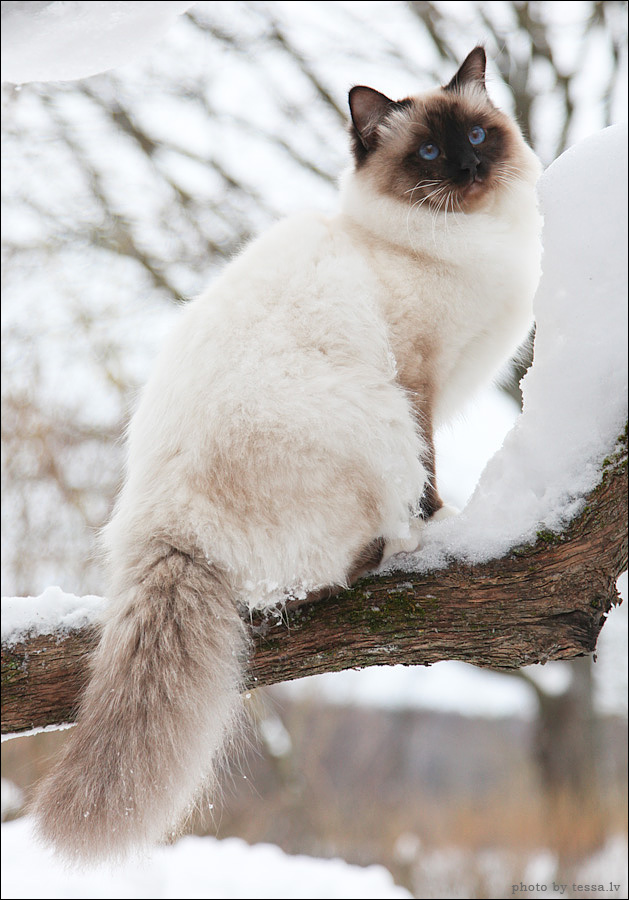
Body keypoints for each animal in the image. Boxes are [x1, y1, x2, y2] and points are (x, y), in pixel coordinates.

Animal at [33, 45, 540, 860]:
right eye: (429, 154)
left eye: (476, 136)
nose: (468, 171)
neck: (467, 243)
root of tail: (166, 529)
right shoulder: (417, 382)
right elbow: (430, 472)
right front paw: (442, 520)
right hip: (374, 420)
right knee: (325, 574)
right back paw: (399, 544)